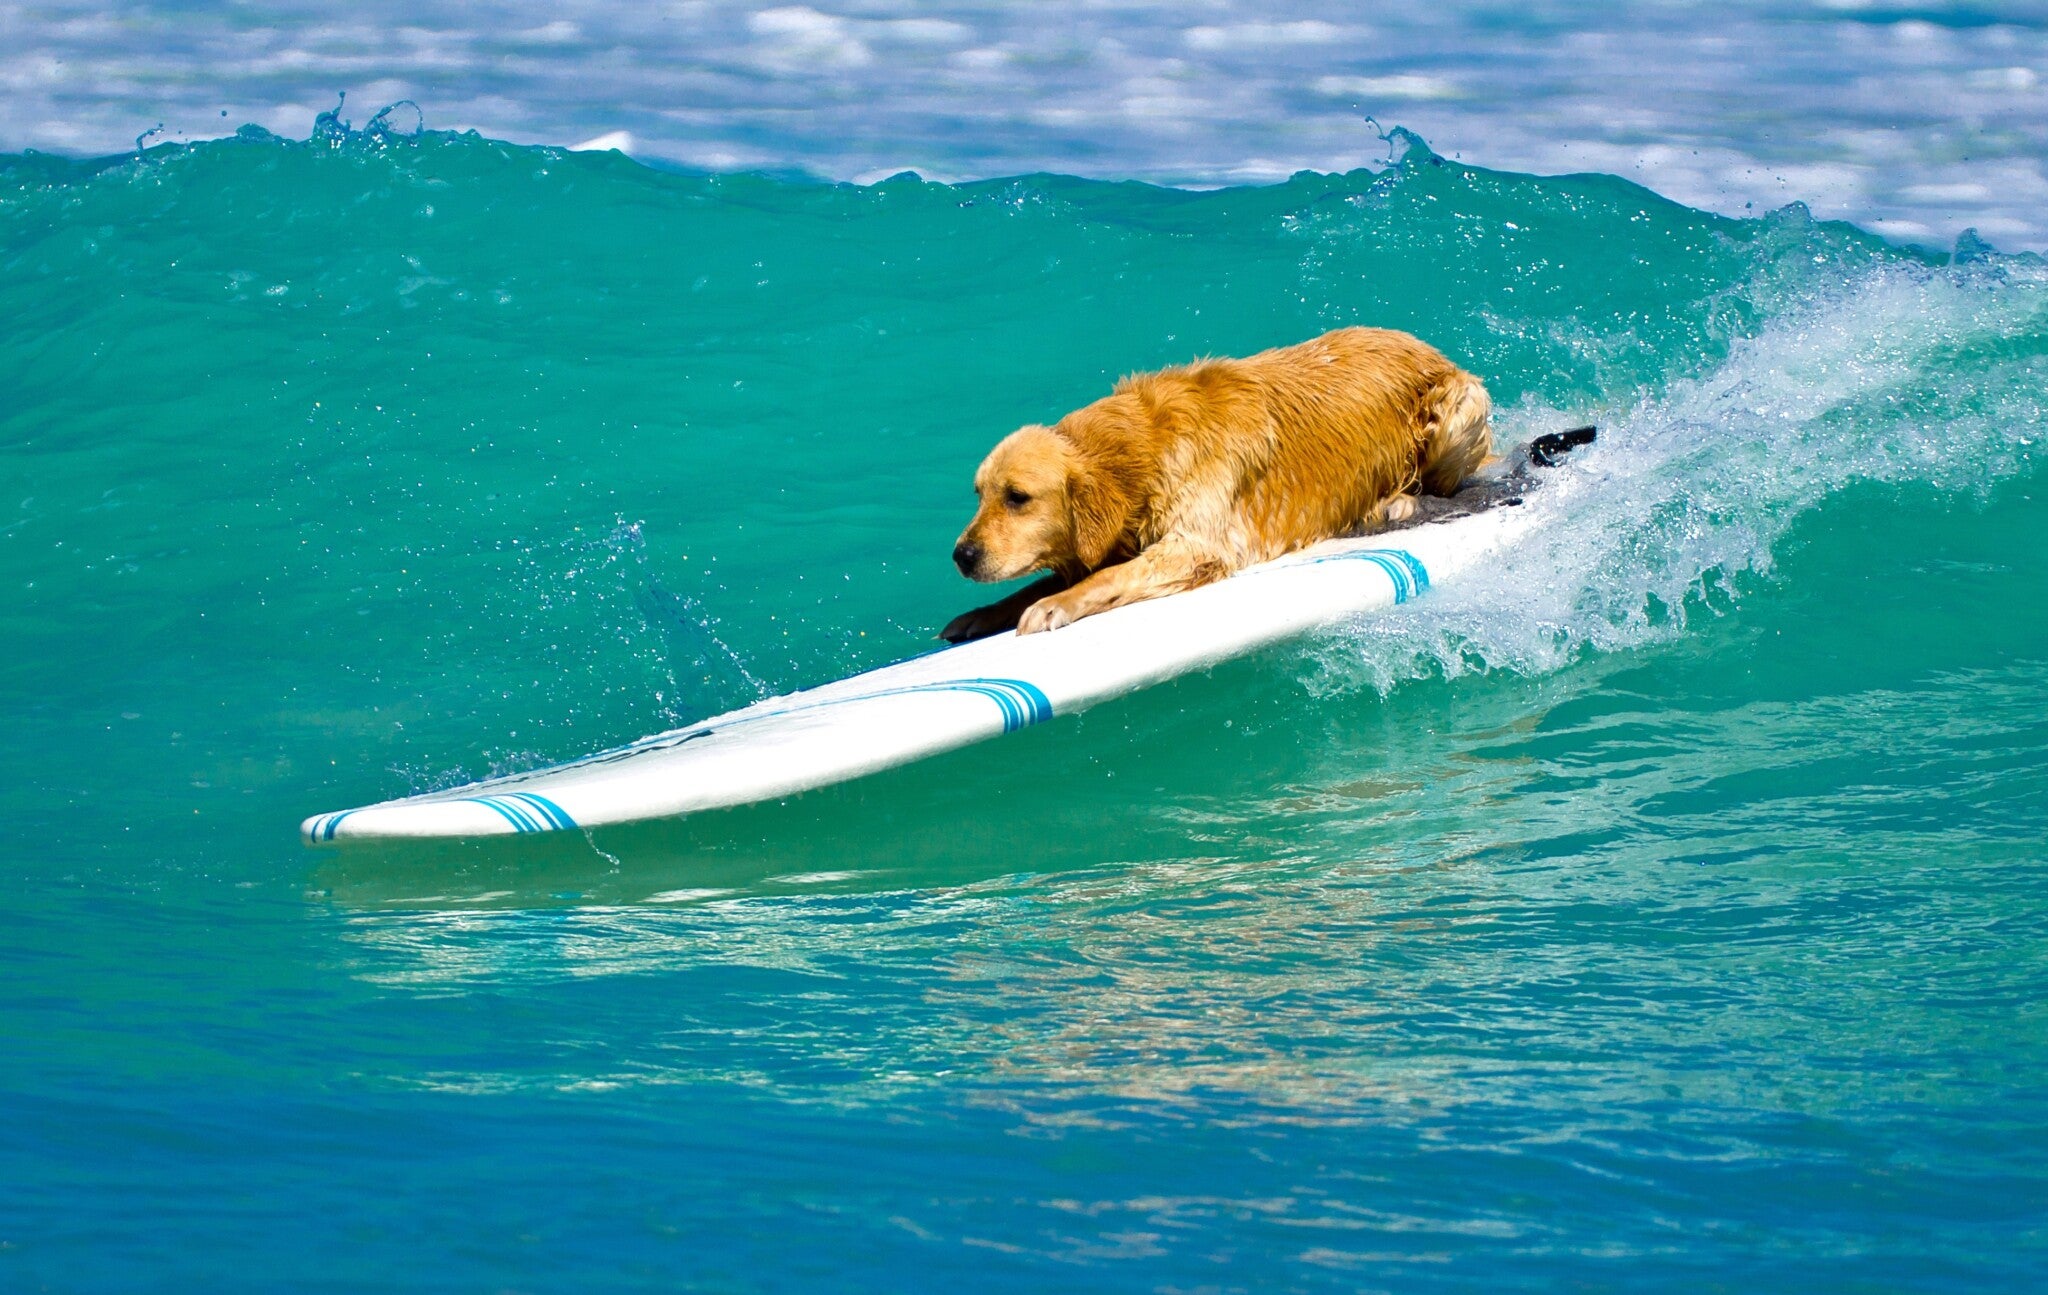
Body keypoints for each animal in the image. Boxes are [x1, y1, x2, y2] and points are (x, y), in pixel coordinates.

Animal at [942, 327, 1490, 643]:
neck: (1145, 446)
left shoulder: (1198, 543)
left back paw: (1394, 503)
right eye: (980, 494)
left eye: (1018, 497)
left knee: (1441, 484)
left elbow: (1107, 576)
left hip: (1459, 406)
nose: (961, 555)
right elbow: (1050, 577)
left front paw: (1053, 605)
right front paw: (982, 614)